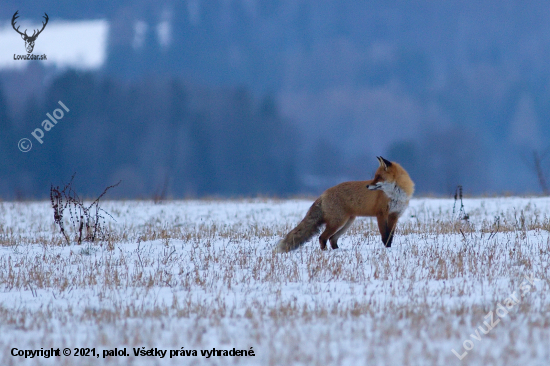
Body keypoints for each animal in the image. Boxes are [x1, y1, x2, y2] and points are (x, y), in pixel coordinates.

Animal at [278, 157, 416, 252]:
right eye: (375, 176)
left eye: (379, 177)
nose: (367, 186)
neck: (395, 195)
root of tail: (324, 193)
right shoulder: (381, 214)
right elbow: (384, 236)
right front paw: (387, 250)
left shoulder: (394, 215)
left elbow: (390, 236)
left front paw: (389, 248)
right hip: (338, 222)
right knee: (322, 237)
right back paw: (326, 253)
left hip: (347, 222)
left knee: (332, 239)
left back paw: (338, 251)